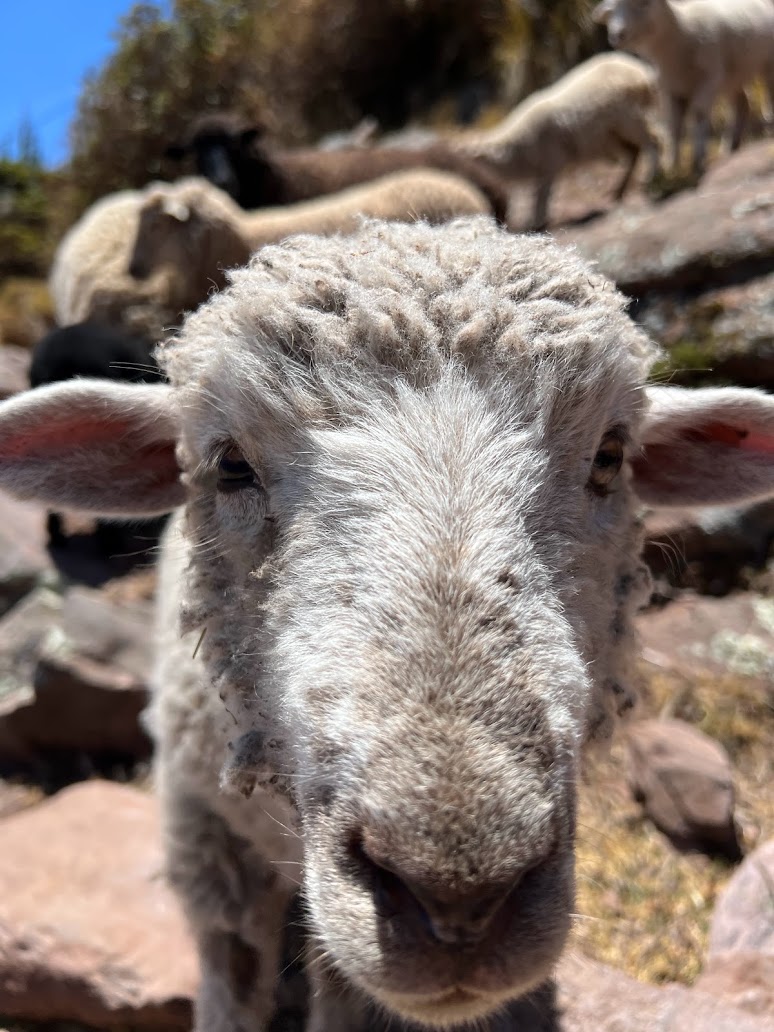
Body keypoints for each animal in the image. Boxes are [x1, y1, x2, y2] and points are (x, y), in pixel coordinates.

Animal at [454, 51, 660, 229]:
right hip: (611, 136)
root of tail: (643, 73)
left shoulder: (550, 163)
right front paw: (534, 222)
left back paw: (649, 179)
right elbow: (537, 197)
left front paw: (538, 224)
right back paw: (618, 192)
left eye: (467, 153)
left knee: (652, 141)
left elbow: (543, 197)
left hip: (629, 119)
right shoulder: (541, 169)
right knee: (634, 153)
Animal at [594, 0, 774, 175]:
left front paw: (698, 160)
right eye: (611, 12)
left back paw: (768, 124)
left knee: (767, 94)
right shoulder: (670, 90)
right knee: (742, 103)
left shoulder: (708, 80)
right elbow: (673, 126)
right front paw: (671, 166)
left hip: (765, 65)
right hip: (732, 76)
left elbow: (698, 115)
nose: (617, 35)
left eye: (643, 4)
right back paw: (730, 145)